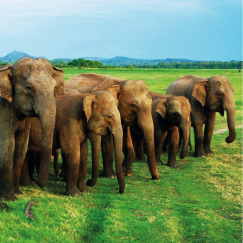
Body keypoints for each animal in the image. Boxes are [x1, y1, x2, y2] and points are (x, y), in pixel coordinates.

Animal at [0, 57, 64, 201]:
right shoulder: (3, 110)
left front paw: (18, 193)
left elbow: (21, 147)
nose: (39, 184)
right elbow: (8, 146)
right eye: (29, 88)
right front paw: (9, 198)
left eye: (54, 87)